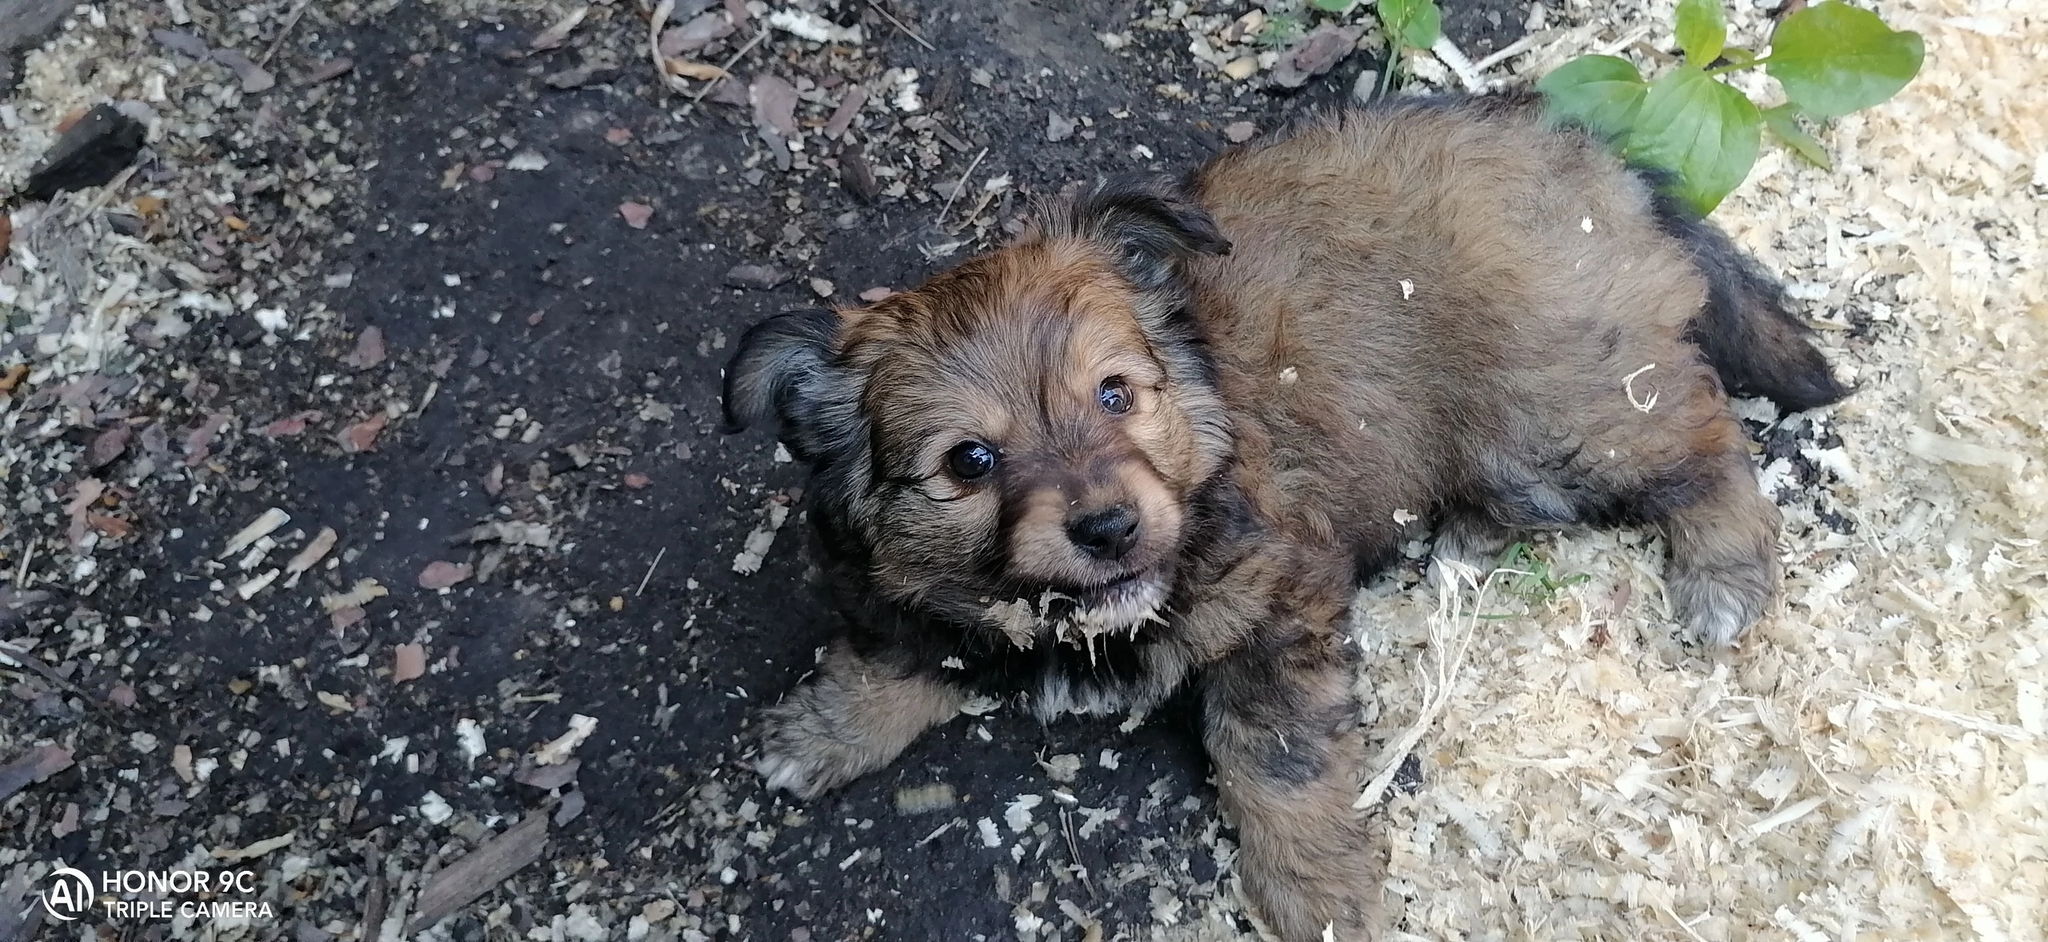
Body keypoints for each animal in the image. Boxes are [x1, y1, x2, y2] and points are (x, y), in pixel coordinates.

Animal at [729, 93, 1851, 933]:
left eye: (1115, 394)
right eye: (969, 462)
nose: (1107, 529)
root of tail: (1594, 162)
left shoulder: (1278, 609)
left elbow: (1277, 765)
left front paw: (1316, 896)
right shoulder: (915, 590)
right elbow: (897, 647)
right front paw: (826, 728)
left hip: (1563, 407)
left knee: (1706, 436)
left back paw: (1723, 575)